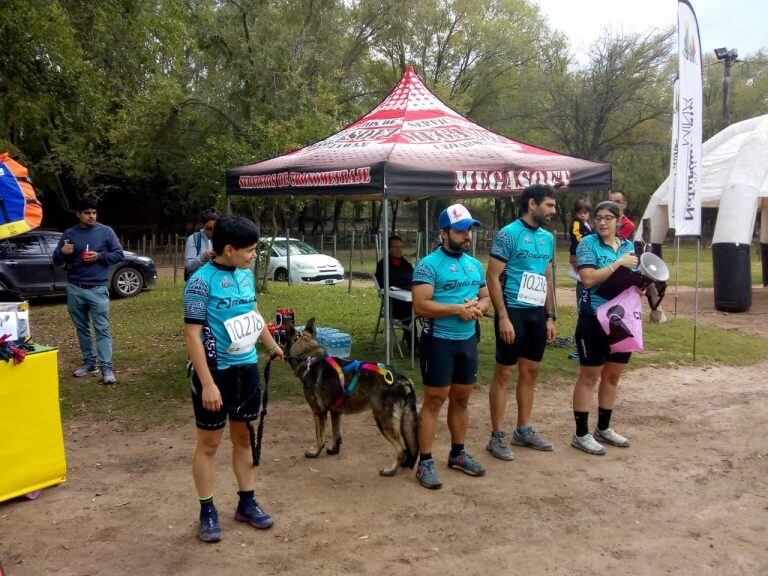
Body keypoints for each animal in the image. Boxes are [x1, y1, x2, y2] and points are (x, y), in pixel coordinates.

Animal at [284, 320, 420, 476]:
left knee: (402, 449)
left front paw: (315, 452)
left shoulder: (319, 412)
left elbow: (320, 437)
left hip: (383, 420)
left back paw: (390, 470)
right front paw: (334, 450)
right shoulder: (335, 412)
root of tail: (403, 379)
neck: (310, 359)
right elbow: (336, 434)